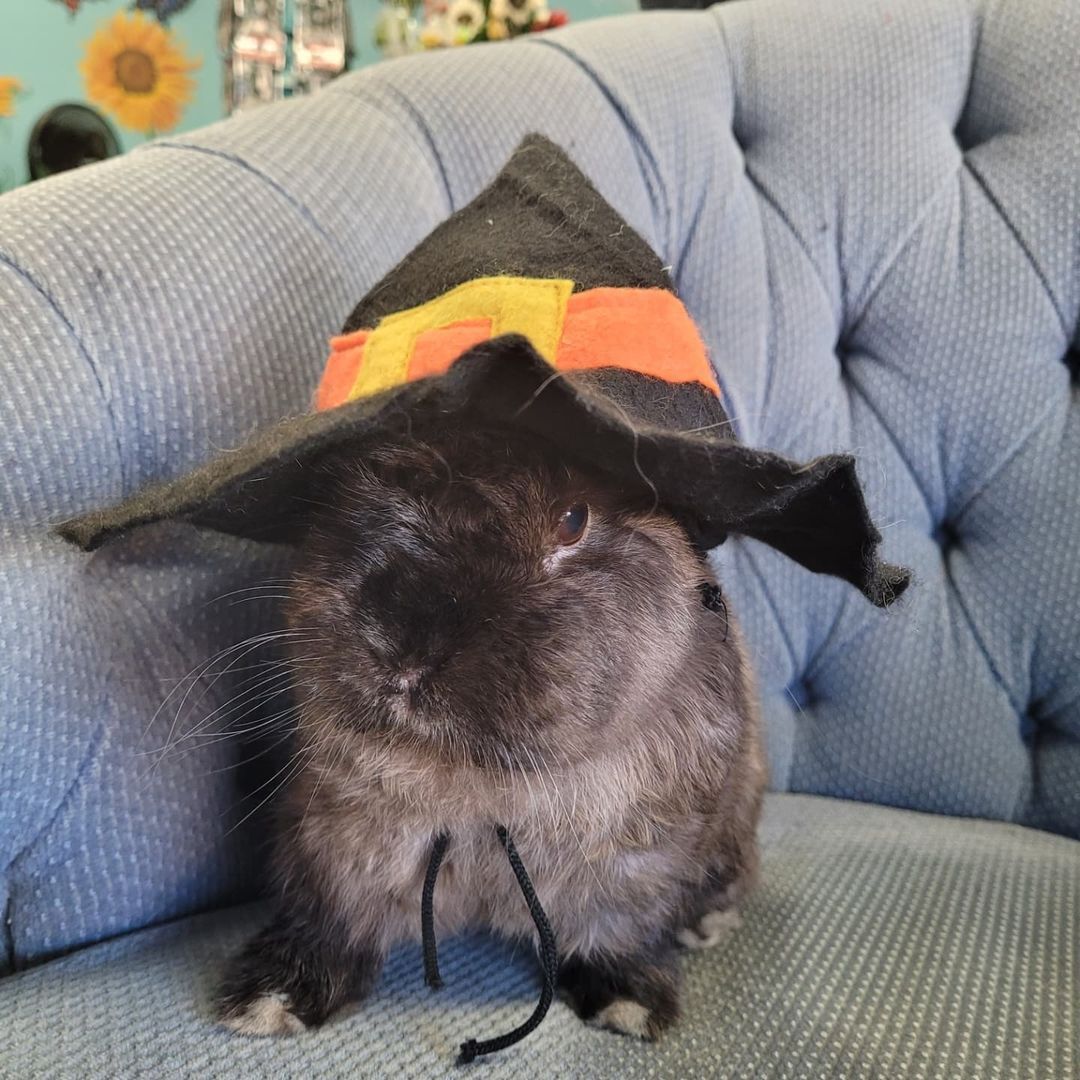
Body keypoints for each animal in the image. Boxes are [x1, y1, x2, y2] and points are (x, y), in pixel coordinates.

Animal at [213, 420, 767, 1046]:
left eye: (573, 518)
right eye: (354, 486)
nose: (401, 650)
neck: (478, 786)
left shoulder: (637, 863)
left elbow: (617, 930)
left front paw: (629, 1002)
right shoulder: (335, 840)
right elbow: (328, 916)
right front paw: (271, 997)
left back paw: (707, 923)